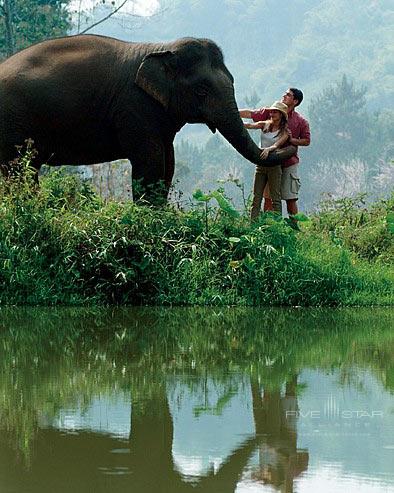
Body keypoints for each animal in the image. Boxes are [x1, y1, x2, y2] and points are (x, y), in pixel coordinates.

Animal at [0, 35, 296, 202]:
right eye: (201, 90)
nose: (291, 139)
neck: (162, 49)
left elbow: (169, 163)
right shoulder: (135, 107)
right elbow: (150, 161)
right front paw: (148, 217)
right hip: (13, 123)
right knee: (16, 172)